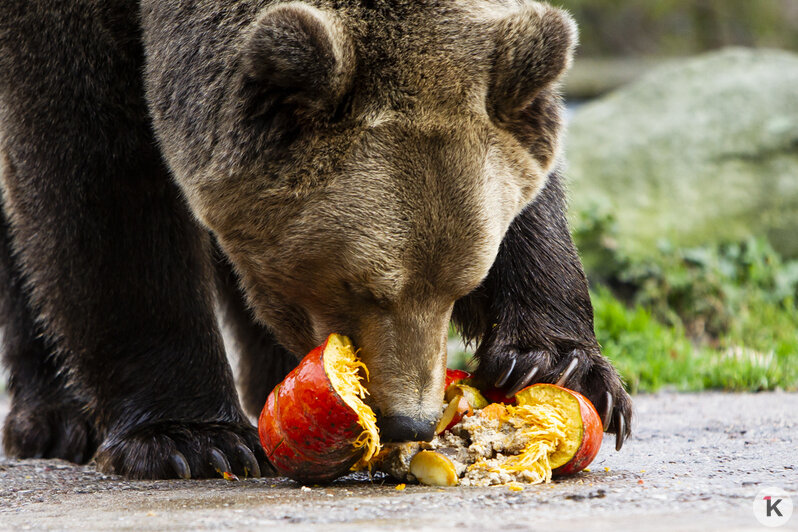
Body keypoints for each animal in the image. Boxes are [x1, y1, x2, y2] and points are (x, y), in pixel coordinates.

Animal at [1, 0, 632, 480]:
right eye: (359, 285)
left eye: (462, 284)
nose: (410, 422)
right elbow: (98, 167)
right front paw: (190, 439)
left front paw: (559, 365)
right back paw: (57, 418)